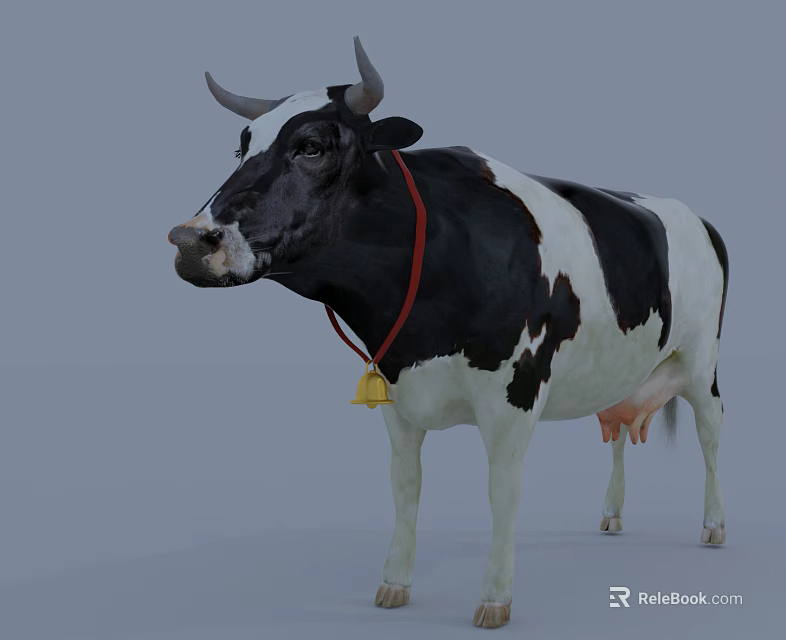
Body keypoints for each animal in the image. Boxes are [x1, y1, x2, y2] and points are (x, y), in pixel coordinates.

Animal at [167, 37, 729, 629]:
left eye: (311, 146)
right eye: (241, 148)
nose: (189, 241)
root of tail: (696, 216)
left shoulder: (515, 392)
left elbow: (503, 490)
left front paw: (495, 599)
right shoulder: (396, 392)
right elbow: (405, 486)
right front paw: (394, 585)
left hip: (701, 361)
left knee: (711, 431)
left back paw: (714, 526)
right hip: (624, 368)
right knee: (618, 425)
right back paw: (612, 515)